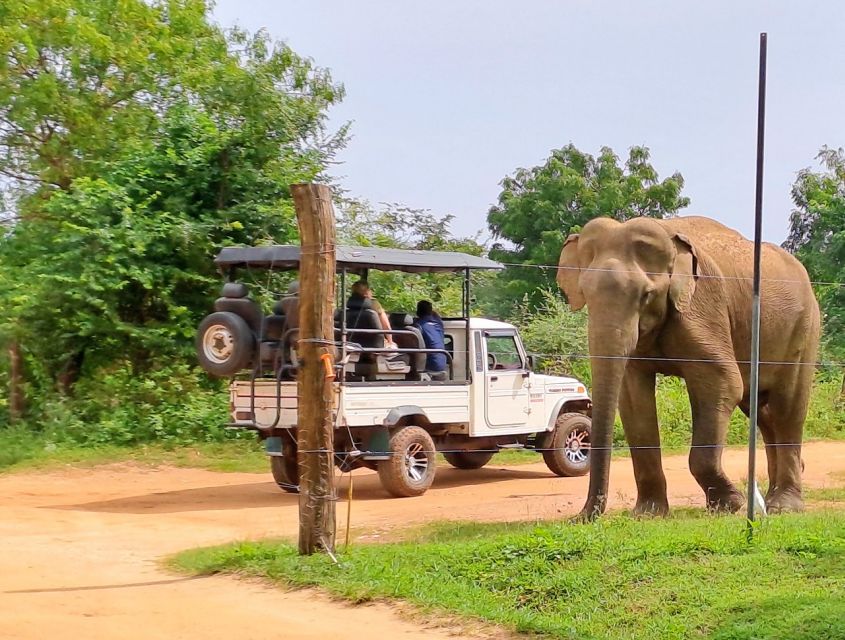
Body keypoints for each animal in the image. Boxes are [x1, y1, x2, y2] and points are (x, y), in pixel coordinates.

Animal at [556, 216, 820, 520]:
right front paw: (648, 514)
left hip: (804, 328)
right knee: (763, 413)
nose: (580, 517)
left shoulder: (702, 306)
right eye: (585, 294)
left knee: (787, 408)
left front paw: (731, 505)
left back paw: (783, 507)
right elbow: (634, 399)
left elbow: (723, 382)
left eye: (646, 295)